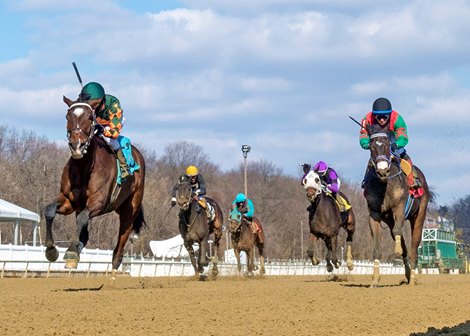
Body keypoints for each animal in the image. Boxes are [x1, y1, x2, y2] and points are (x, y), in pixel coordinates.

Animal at [45, 96, 147, 278]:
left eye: (89, 118)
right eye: (67, 116)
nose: (77, 145)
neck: (84, 167)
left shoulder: (99, 203)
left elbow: (82, 219)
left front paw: (71, 252)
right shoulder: (69, 200)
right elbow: (49, 210)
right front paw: (51, 250)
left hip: (130, 209)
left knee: (122, 239)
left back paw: (113, 271)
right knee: (84, 234)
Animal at [364, 123, 430, 286]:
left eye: (388, 145)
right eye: (371, 147)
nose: (382, 171)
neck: (385, 185)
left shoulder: (399, 207)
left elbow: (399, 231)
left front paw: (398, 251)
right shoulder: (374, 213)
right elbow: (377, 247)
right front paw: (375, 279)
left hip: (419, 214)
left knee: (413, 246)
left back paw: (413, 278)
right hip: (389, 219)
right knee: (403, 243)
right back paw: (407, 274)